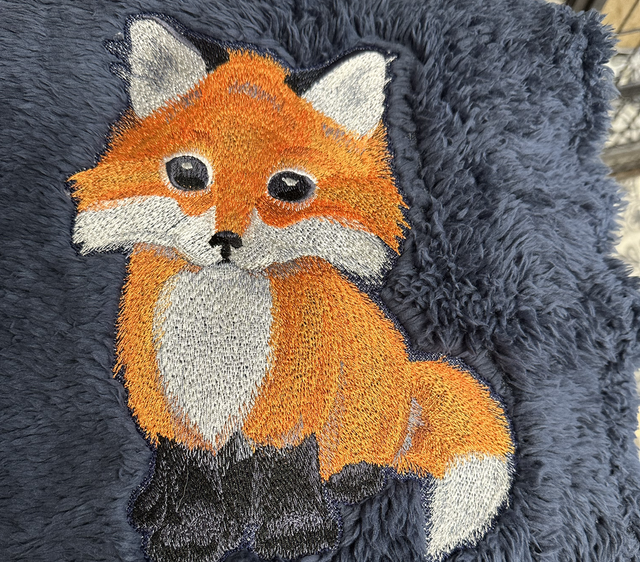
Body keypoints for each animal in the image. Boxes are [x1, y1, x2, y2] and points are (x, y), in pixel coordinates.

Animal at [70, 14, 515, 562]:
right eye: (189, 172)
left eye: (288, 186)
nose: (225, 240)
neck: (220, 328)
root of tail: (410, 375)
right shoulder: (176, 401)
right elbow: (191, 478)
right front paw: (189, 533)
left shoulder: (292, 402)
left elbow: (288, 475)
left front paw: (294, 534)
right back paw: (152, 502)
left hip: (366, 407)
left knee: (361, 461)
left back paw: (351, 479)